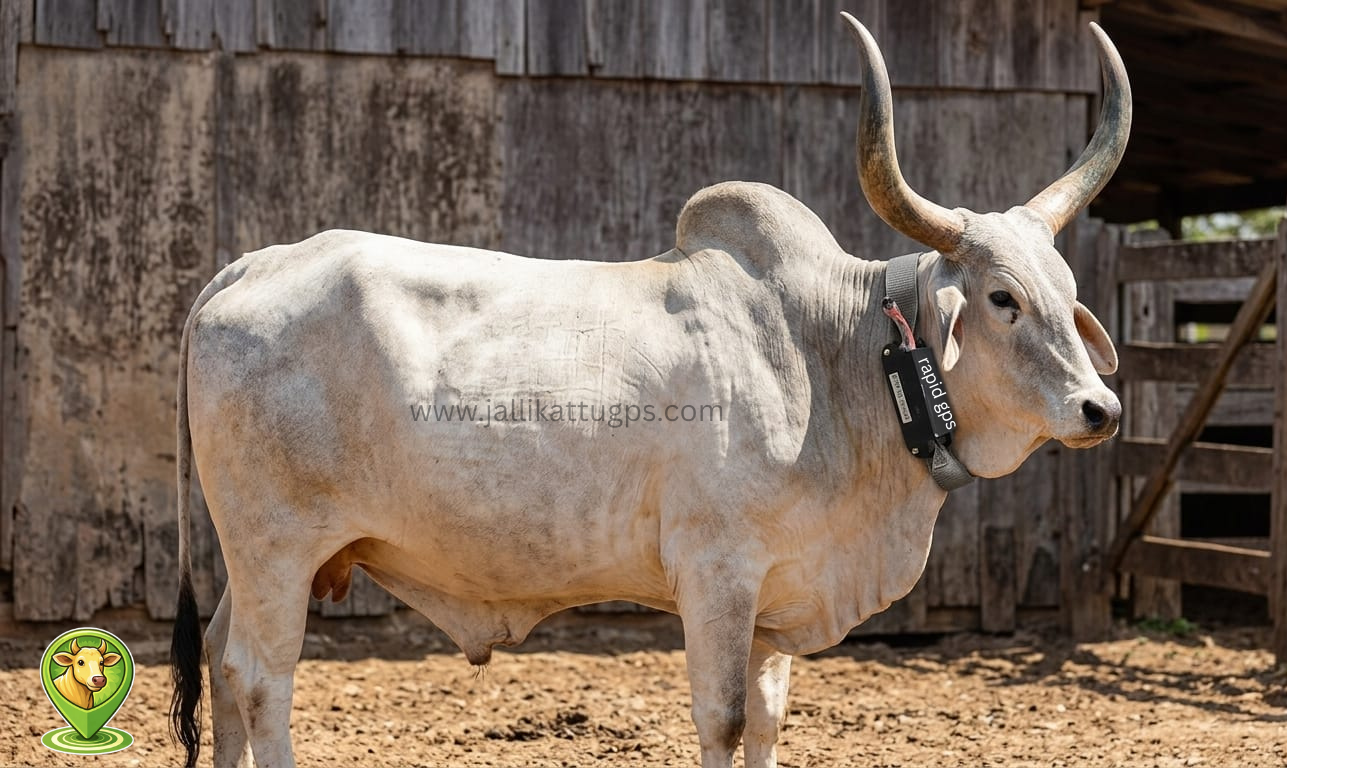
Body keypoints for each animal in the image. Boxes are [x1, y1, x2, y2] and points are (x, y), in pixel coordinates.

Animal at [169, 13, 1129, 768]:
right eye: (1001, 298)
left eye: (1066, 286)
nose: (1102, 410)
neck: (831, 361)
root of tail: (249, 267)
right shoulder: (717, 573)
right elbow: (725, 720)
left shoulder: (775, 597)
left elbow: (768, 723)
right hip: (277, 546)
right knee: (262, 680)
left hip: (255, 558)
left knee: (219, 656)